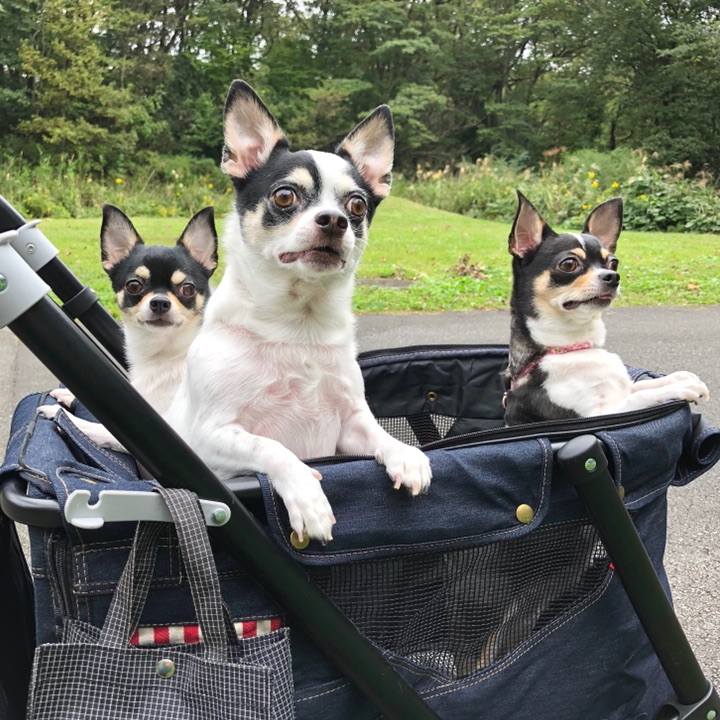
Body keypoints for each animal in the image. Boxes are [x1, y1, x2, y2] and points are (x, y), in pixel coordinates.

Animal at [39, 205, 218, 447]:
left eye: (187, 288)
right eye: (134, 285)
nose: (160, 302)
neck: (163, 353)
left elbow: (94, 427)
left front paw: (58, 413)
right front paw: (69, 395)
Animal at [165, 81, 432, 543]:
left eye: (357, 206)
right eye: (285, 196)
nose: (334, 220)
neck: (297, 325)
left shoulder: (350, 425)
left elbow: (379, 434)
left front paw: (405, 453)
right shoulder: (210, 439)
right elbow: (273, 447)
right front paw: (308, 497)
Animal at [504, 192, 709, 425]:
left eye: (613, 263)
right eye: (568, 264)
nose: (613, 276)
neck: (573, 347)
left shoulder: (623, 388)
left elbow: (643, 385)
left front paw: (677, 378)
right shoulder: (600, 414)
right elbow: (642, 396)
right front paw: (680, 387)